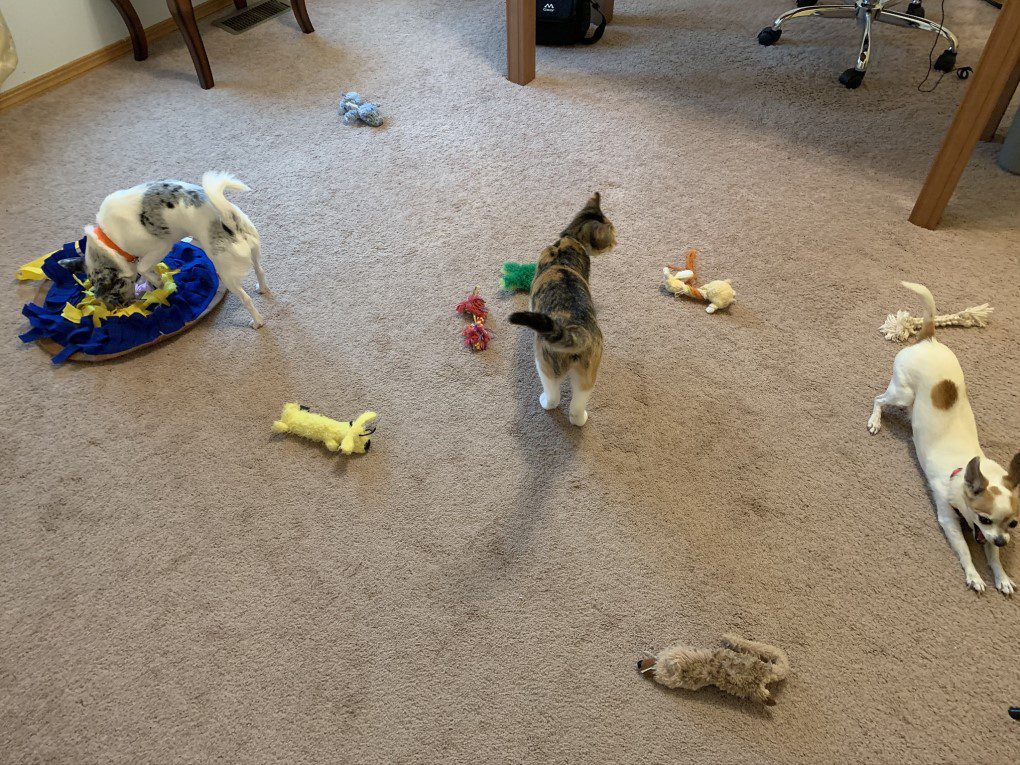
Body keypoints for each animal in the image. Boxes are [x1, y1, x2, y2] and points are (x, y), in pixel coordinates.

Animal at [82, 172, 267, 328]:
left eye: (114, 293)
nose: (118, 308)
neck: (109, 241)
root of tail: (230, 221)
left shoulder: (161, 247)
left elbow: (142, 267)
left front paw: (157, 281)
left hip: (227, 274)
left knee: (246, 299)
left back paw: (258, 322)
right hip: (253, 251)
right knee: (260, 270)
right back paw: (263, 289)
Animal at [869, 285, 1020, 595]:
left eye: (1012, 524)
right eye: (985, 518)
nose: (1002, 541)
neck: (961, 474)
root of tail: (928, 337)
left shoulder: (985, 536)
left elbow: (992, 556)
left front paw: (1001, 576)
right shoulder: (948, 519)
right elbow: (963, 549)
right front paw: (974, 575)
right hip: (902, 393)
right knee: (878, 399)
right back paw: (875, 421)